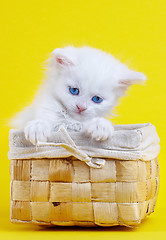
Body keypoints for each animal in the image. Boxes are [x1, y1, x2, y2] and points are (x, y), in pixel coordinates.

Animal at [11, 46, 146, 144]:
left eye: (97, 99)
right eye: (74, 91)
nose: (81, 107)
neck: (71, 121)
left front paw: (100, 126)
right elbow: (43, 122)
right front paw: (37, 127)